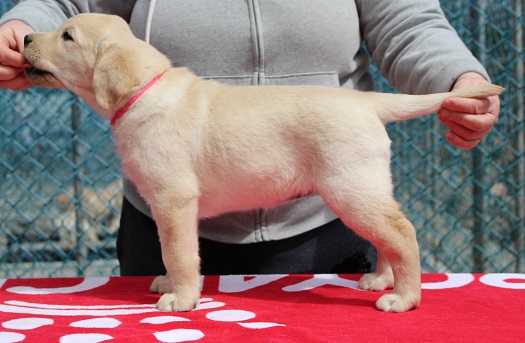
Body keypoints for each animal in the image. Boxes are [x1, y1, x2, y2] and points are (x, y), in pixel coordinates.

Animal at [23, 13, 500, 314]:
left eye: (67, 36)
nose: (25, 39)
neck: (145, 89)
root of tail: (367, 102)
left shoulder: (174, 199)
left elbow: (178, 251)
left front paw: (181, 298)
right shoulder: (170, 205)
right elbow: (173, 251)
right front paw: (170, 285)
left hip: (350, 187)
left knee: (403, 233)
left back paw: (404, 298)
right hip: (367, 187)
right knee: (390, 235)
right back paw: (382, 281)